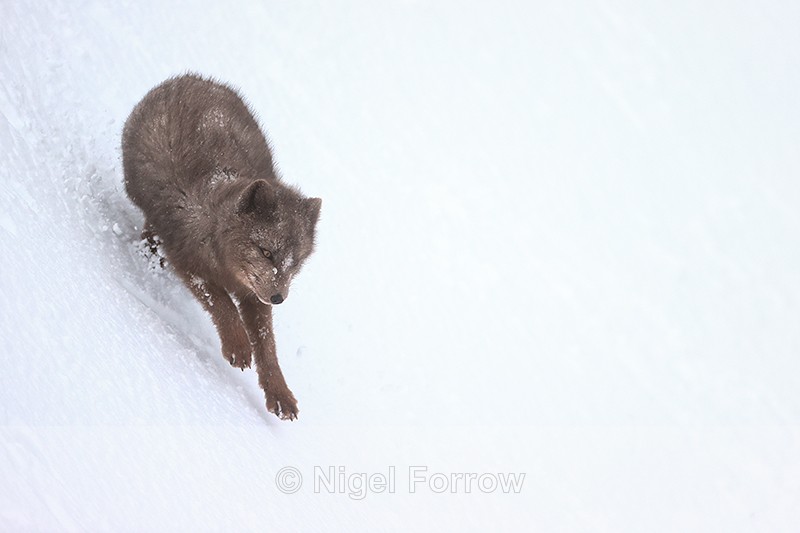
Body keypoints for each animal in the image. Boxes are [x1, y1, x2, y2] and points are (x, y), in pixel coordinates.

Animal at [121, 74, 321, 420]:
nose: (279, 298)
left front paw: (280, 395)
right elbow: (221, 304)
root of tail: (190, 77)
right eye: (266, 251)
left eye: (295, 264)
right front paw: (238, 348)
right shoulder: (186, 257)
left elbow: (267, 345)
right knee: (151, 228)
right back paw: (148, 252)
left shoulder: (253, 294)